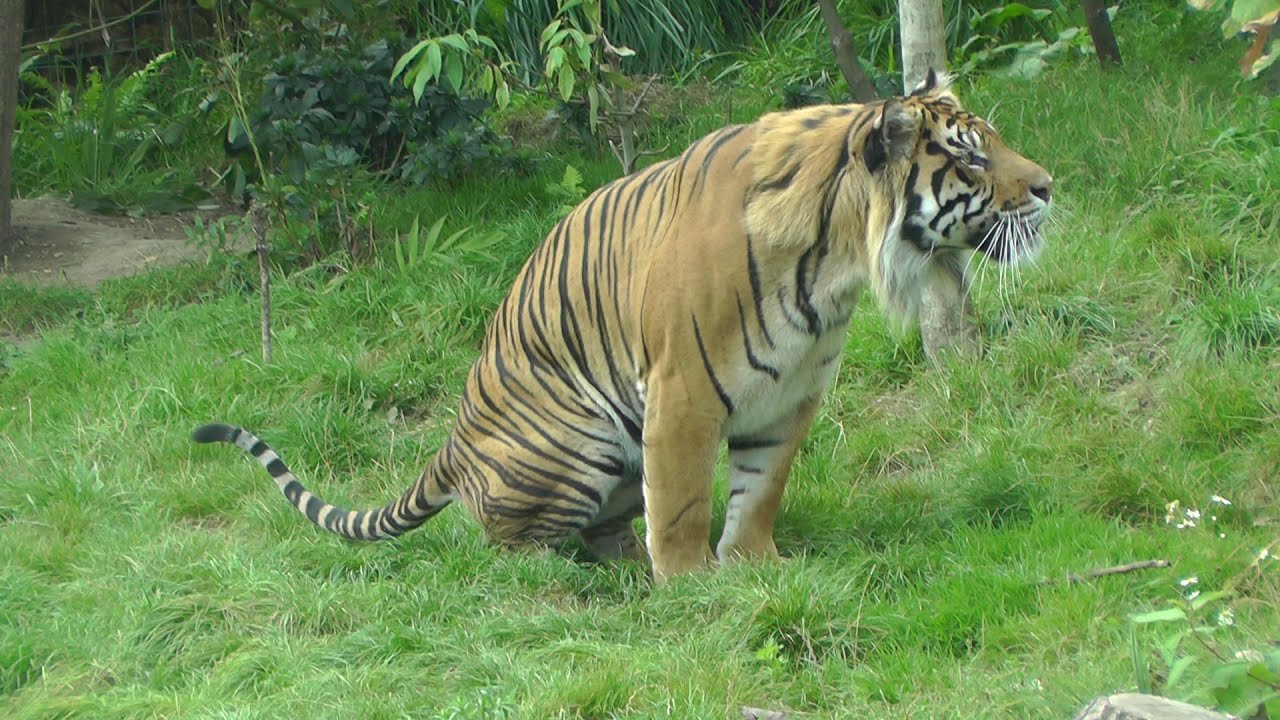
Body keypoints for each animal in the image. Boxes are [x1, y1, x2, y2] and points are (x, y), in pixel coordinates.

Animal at [193, 71, 1053, 583]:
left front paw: (757, 565)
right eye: (972, 161)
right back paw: (582, 582)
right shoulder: (682, 393)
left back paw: (625, 570)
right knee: (512, 550)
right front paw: (692, 585)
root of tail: (454, 442)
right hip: (577, 441)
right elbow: (680, 500)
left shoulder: (792, 393)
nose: (1049, 185)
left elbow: (762, 488)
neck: (836, 262)